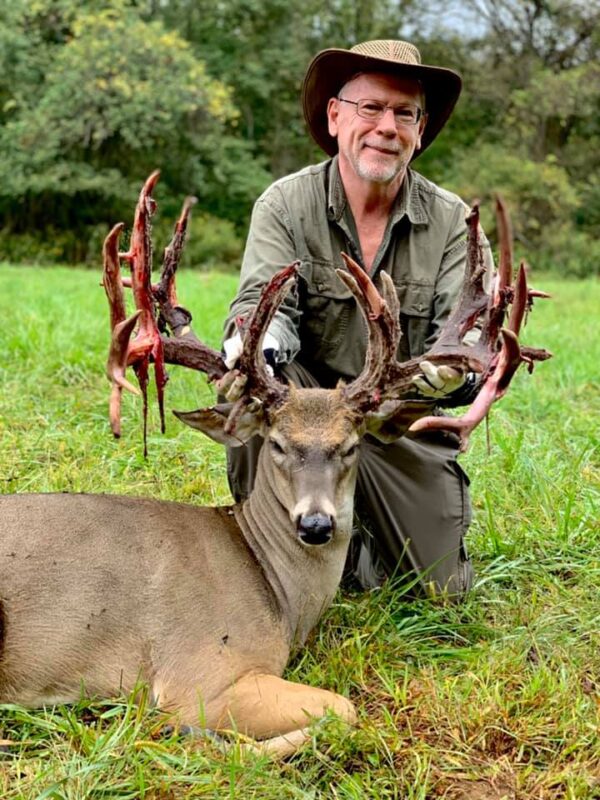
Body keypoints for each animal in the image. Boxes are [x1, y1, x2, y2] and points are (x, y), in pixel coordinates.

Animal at [0, 172, 551, 758]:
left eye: (350, 446)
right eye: (279, 445)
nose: (316, 524)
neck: (277, 591)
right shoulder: (199, 671)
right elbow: (343, 709)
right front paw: (197, 737)